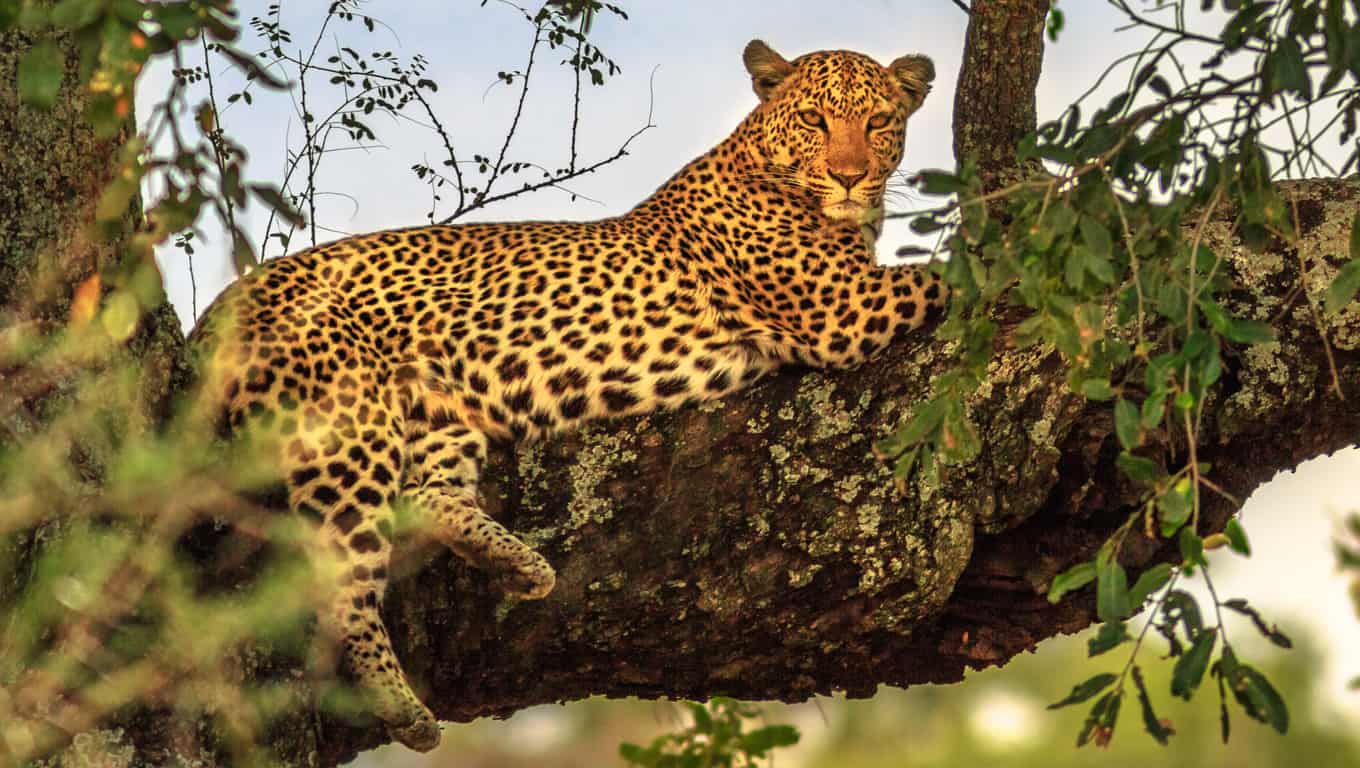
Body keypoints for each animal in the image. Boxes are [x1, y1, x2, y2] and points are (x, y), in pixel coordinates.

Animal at [186, 40, 941, 750]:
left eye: (878, 122)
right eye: (815, 120)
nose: (851, 176)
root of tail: (230, 299)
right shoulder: (841, 310)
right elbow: (943, 275)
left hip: (437, 414)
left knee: (423, 496)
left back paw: (518, 565)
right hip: (347, 427)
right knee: (336, 576)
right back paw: (401, 707)